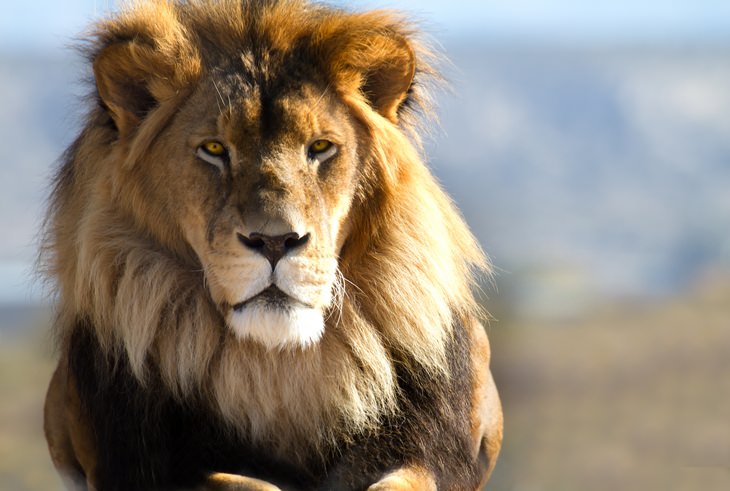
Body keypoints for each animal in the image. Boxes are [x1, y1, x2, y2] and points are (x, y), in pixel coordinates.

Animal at [41, 1, 500, 490]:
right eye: (213, 148)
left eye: (320, 147)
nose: (276, 240)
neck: (277, 366)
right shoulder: (144, 463)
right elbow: (240, 481)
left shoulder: (427, 448)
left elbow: (402, 479)